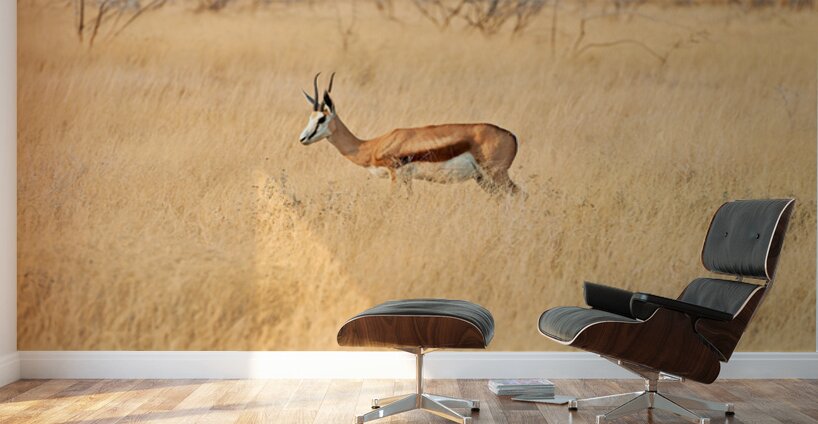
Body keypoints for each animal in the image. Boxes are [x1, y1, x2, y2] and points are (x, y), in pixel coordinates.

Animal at [299, 73, 520, 195]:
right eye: (310, 117)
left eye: (322, 119)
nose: (303, 139)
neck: (372, 146)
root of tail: (512, 136)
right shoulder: (407, 180)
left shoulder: (395, 175)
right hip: (482, 179)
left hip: (496, 175)